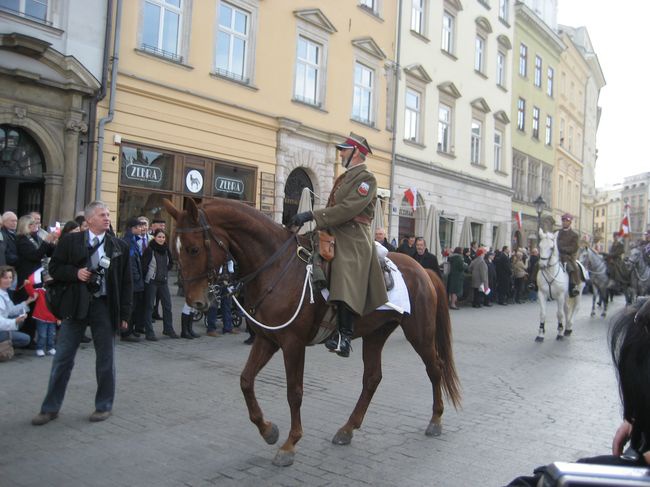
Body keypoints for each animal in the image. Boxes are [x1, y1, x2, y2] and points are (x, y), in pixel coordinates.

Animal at [162, 198, 458, 468]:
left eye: (193, 248)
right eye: (175, 250)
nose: (196, 302)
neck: (276, 267)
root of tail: (422, 269)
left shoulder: (293, 343)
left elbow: (294, 392)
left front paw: (289, 444)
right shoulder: (267, 339)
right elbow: (246, 381)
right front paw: (268, 431)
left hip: (419, 333)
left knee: (435, 368)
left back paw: (435, 419)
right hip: (376, 334)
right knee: (372, 378)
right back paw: (347, 428)